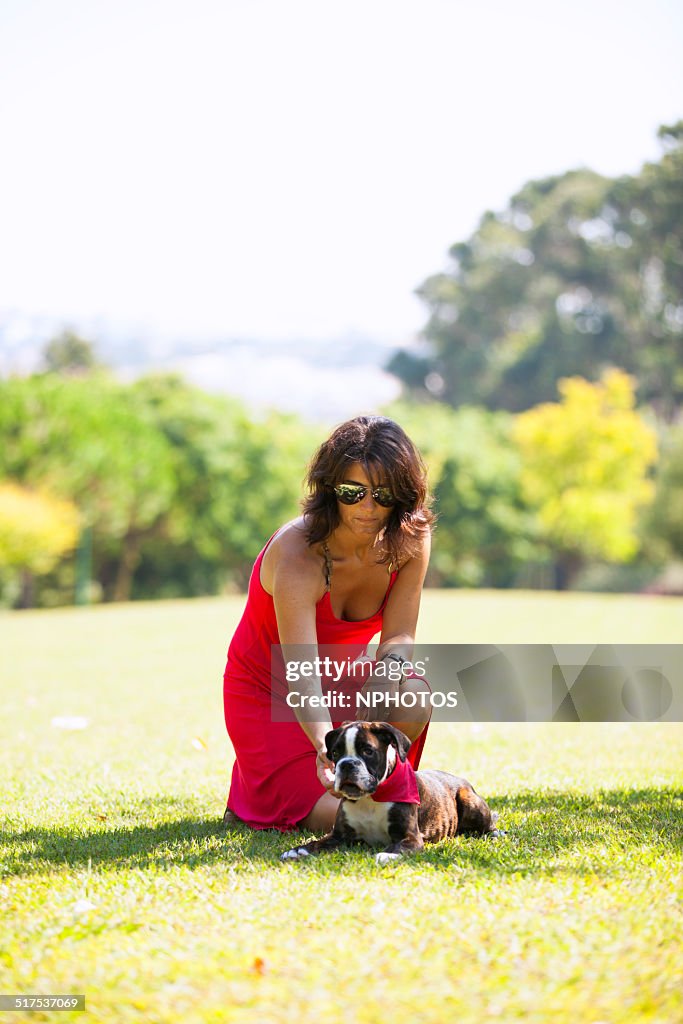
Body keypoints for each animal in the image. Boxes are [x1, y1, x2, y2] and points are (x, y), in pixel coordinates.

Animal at [278, 720, 501, 864]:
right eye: (335, 753)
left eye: (368, 751)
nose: (347, 764)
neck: (370, 798)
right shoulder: (339, 835)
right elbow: (318, 842)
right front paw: (298, 851)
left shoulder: (410, 837)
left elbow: (399, 846)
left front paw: (388, 855)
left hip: (470, 802)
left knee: (488, 825)